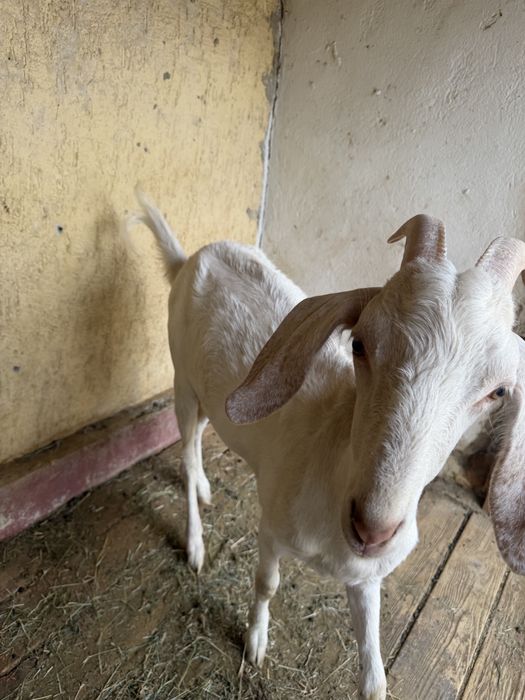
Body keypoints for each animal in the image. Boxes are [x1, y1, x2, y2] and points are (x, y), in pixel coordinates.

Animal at [129, 192, 525, 700]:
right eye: (359, 344)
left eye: (497, 392)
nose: (372, 529)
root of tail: (190, 258)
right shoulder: (271, 529)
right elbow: (266, 583)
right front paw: (255, 643)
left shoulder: (367, 578)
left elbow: (374, 673)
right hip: (182, 380)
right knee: (186, 449)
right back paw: (195, 542)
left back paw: (203, 489)